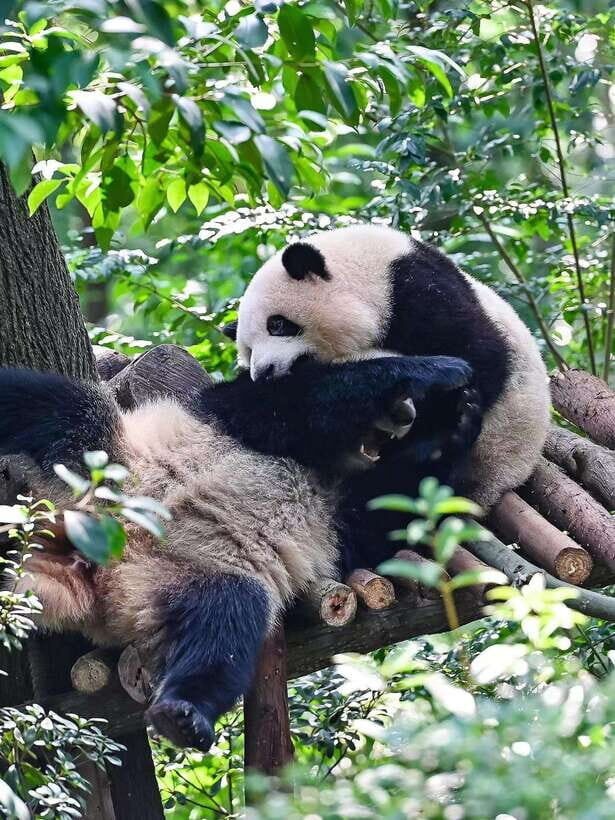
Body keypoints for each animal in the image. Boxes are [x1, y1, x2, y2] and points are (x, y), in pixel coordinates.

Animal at [0, 353, 474, 752]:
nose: (406, 416)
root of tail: (93, 565)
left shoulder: (356, 519)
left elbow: (390, 507)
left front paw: (456, 418)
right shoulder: (244, 416)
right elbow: (305, 404)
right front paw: (444, 376)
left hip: (186, 572)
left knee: (225, 622)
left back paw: (182, 716)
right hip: (101, 461)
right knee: (50, 405)